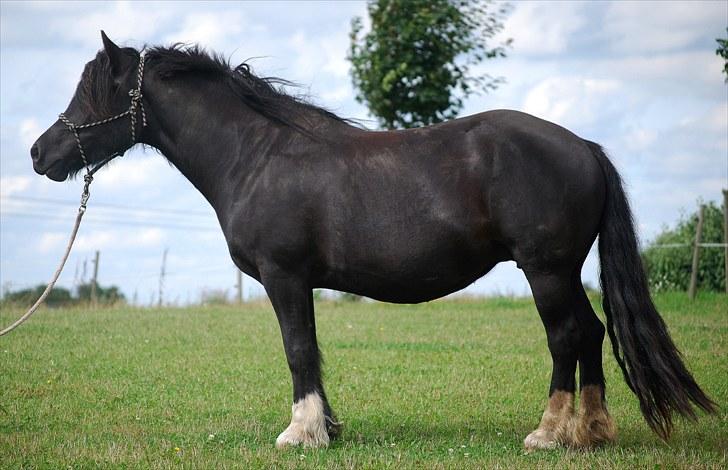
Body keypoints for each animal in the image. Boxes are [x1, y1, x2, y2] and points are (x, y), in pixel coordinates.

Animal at [31, 33, 712, 448]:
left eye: (95, 91)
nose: (40, 152)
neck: (256, 154)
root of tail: (584, 147)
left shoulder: (284, 277)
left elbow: (297, 350)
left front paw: (301, 433)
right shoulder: (299, 282)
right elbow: (311, 350)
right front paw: (327, 428)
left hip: (545, 270)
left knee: (567, 336)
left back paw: (549, 433)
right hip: (563, 271)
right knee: (591, 334)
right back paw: (591, 432)